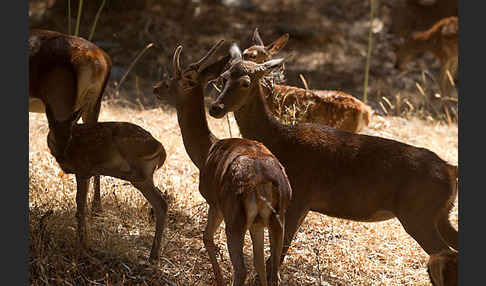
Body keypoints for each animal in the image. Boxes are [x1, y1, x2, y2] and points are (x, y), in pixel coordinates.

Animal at [44, 104, 169, 262]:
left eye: (69, 135)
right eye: (52, 131)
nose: (61, 155)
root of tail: (161, 150)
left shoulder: (82, 170)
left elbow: (80, 205)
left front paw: (83, 244)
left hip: (132, 155)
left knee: (146, 186)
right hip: (145, 179)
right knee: (161, 204)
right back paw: (153, 257)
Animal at [154, 40, 290, 286]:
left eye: (178, 78)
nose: (157, 88)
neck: (206, 151)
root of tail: (265, 185)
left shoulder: (213, 200)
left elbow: (206, 237)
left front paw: (218, 278)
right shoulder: (257, 223)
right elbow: (259, 264)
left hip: (234, 215)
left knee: (241, 269)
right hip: (277, 218)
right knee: (273, 271)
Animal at [209, 43, 460, 284]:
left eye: (245, 83)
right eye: (223, 78)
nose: (215, 108)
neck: (278, 139)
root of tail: (450, 170)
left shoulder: (299, 196)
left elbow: (279, 253)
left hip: (419, 213)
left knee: (444, 253)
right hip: (440, 213)